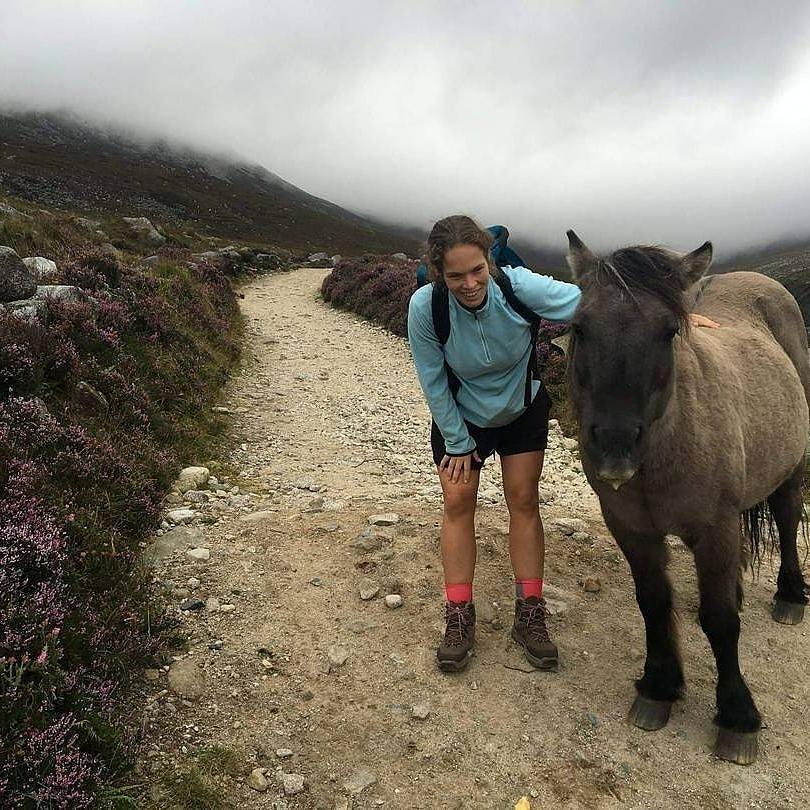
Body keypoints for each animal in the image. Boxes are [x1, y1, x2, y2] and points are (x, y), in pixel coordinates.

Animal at [564, 230, 804, 760]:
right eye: (580, 327)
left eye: (668, 331)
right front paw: (659, 687)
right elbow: (653, 602)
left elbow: (721, 621)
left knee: (787, 516)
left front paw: (737, 716)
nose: (615, 442)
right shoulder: (631, 528)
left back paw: (791, 595)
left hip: (792, 467)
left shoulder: (715, 531)